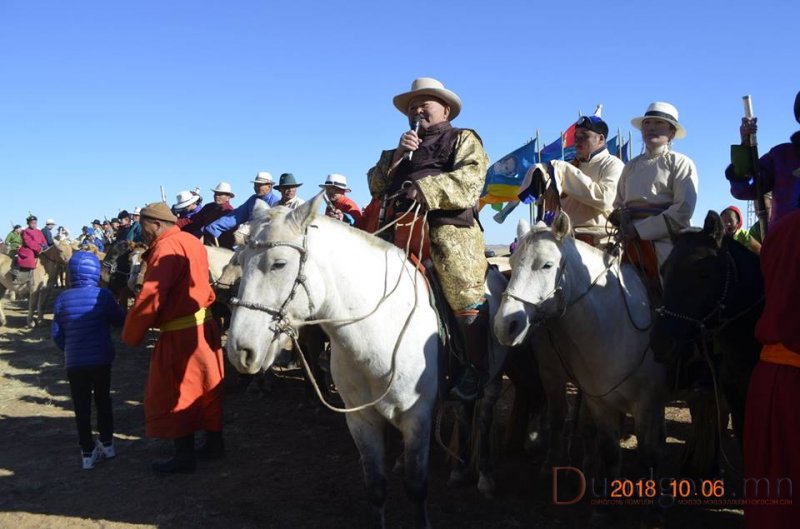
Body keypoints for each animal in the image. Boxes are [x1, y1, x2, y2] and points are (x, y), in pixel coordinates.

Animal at [494, 213, 668, 524]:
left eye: (547, 265)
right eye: (512, 263)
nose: (505, 326)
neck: (616, 326)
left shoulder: (646, 403)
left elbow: (647, 452)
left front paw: (655, 509)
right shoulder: (585, 393)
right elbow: (603, 446)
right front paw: (601, 505)